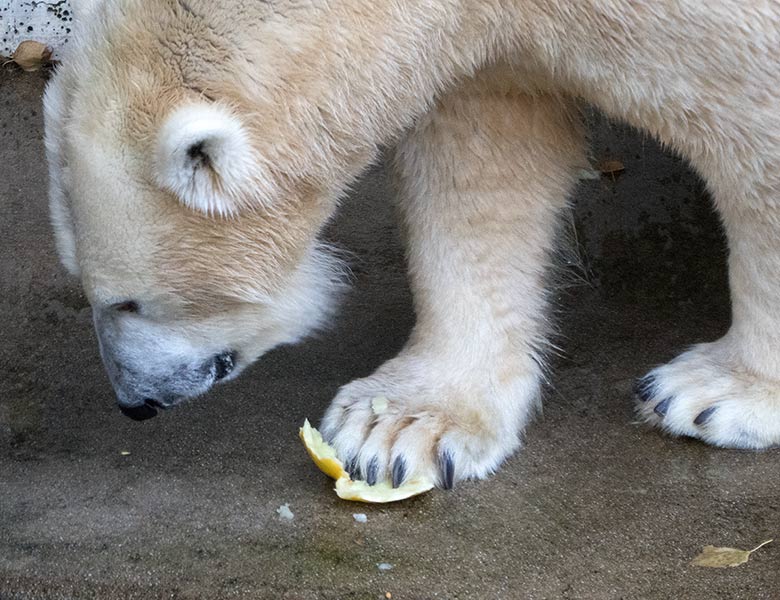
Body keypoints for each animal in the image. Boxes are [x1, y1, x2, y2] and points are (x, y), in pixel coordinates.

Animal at [44, 0, 780, 488]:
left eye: (130, 301)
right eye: (83, 287)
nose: (136, 403)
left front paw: (716, 394)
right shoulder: (495, 47)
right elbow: (480, 173)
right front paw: (399, 427)